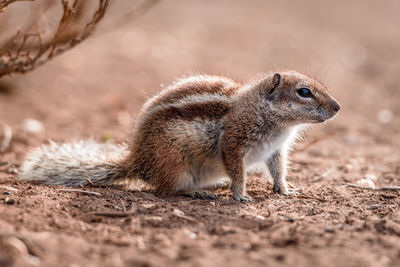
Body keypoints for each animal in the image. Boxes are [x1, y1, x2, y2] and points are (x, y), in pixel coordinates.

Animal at [18, 71, 338, 203]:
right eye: (304, 92)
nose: (338, 107)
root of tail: (138, 161)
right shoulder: (234, 142)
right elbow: (238, 171)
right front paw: (240, 194)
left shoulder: (275, 150)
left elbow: (278, 170)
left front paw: (285, 190)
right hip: (175, 164)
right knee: (166, 190)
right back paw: (196, 192)